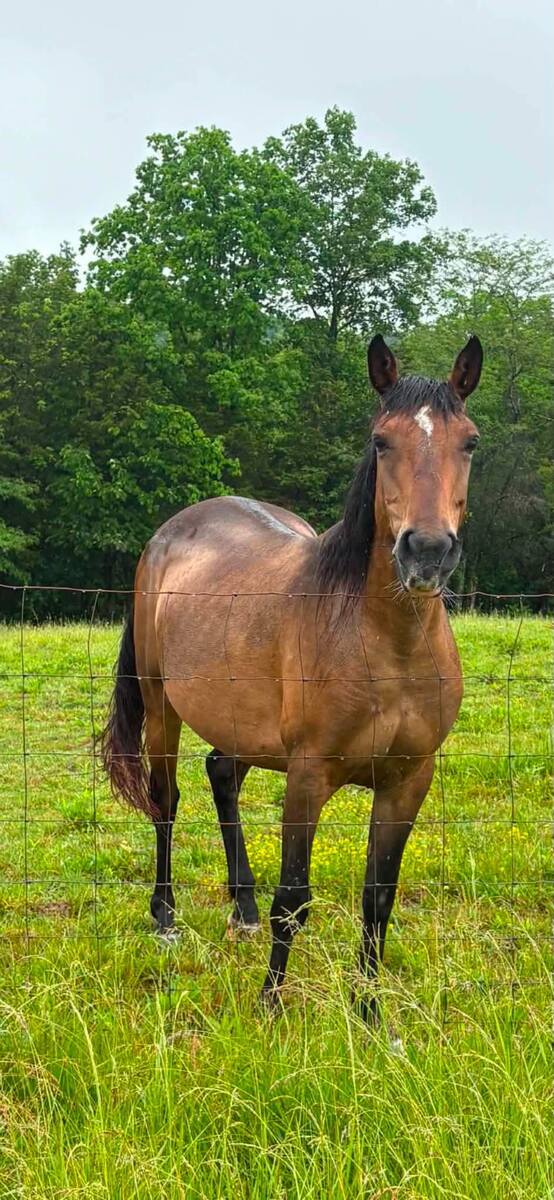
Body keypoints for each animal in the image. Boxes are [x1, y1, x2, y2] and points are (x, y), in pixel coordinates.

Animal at [100, 333, 483, 1022]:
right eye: (381, 441)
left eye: (469, 441)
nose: (427, 552)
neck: (384, 646)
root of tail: (167, 535)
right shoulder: (308, 776)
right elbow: (294, 898)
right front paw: (271, 1005)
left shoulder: (409, 780)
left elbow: (377, 898)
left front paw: (369, 1014)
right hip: (161, 704)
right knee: (165, 801)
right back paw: (165, 917)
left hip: (240, 725)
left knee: (221, 776)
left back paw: (241, 909)